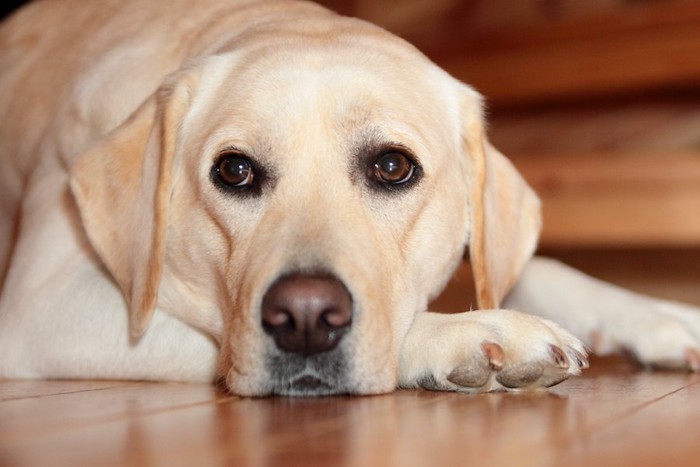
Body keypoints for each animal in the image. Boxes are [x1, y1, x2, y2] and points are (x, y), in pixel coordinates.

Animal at [0, 0, 696, 396]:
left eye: (392, 166)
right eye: (234, 171)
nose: (306, 318)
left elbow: (535, 267)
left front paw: (658, 316)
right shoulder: (37, 312)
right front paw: (469, 334)